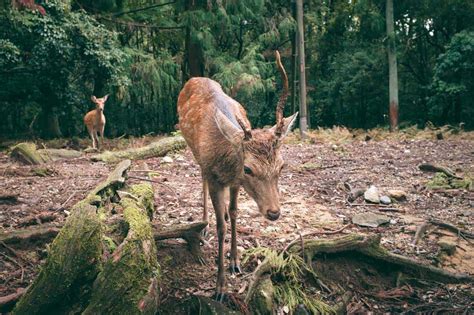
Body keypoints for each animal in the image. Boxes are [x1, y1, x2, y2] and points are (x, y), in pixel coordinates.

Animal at [177, 51, 296, 302]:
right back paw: (203, 224)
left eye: (282, 165)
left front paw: (235, 261)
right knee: (201, 179)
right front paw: (220, 287)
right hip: (195, 152)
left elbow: (233, 212)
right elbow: (221, 225)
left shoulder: (235, 183)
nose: (274, 212)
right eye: (248, 169)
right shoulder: (215, 176)